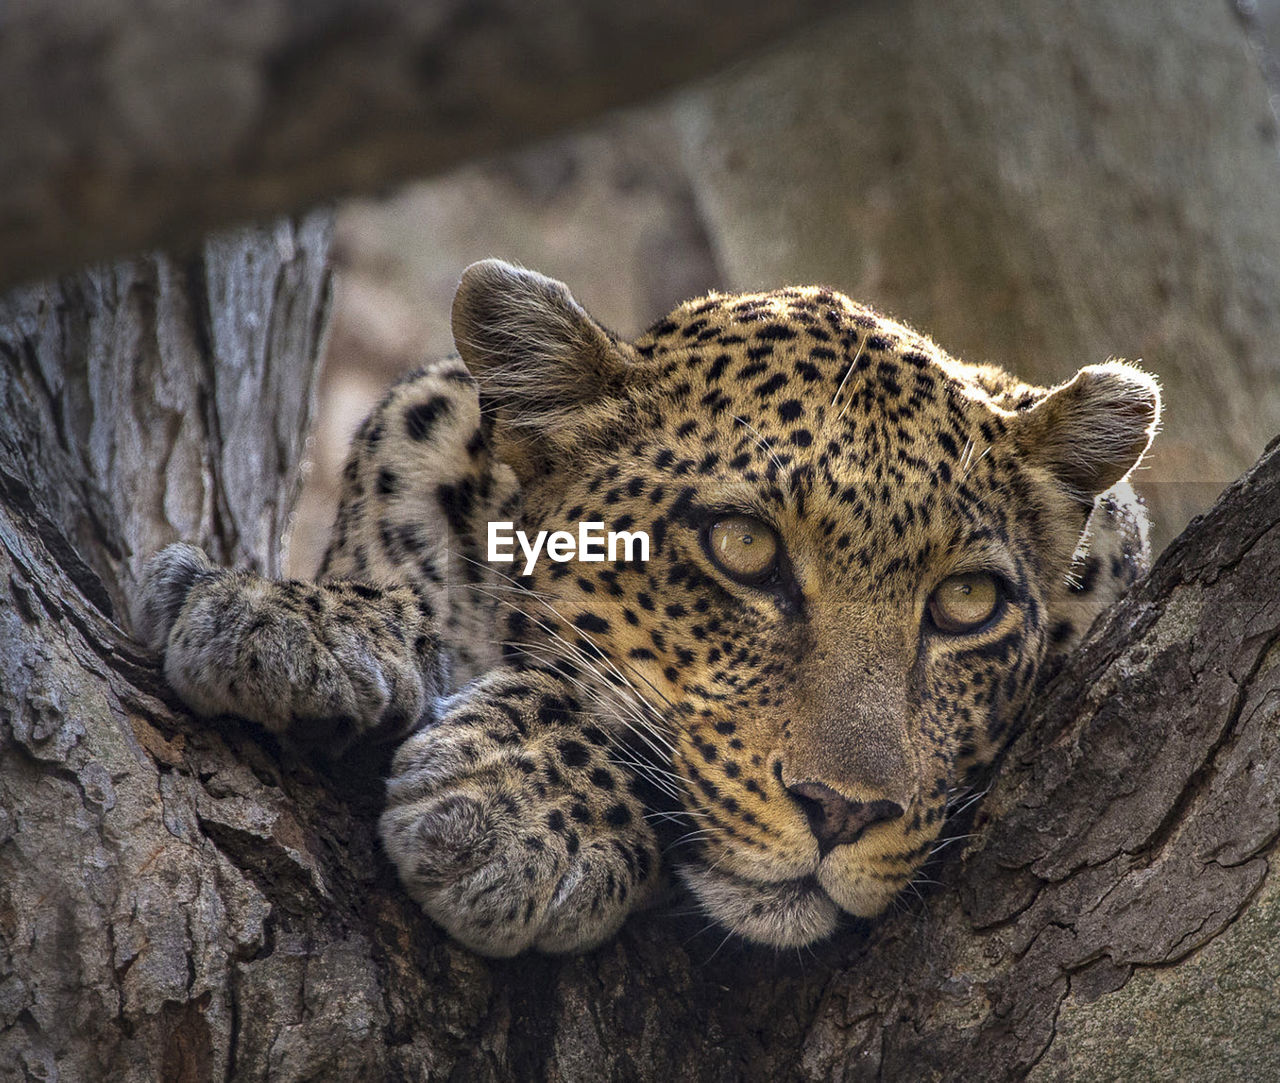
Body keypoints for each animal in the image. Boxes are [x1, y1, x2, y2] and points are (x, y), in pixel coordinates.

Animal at [132, 261, 1162, 957]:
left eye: (966, 601)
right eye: (743, 548)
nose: (843, 812)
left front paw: (516, 816)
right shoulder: (427, 419)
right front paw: (293, 617)